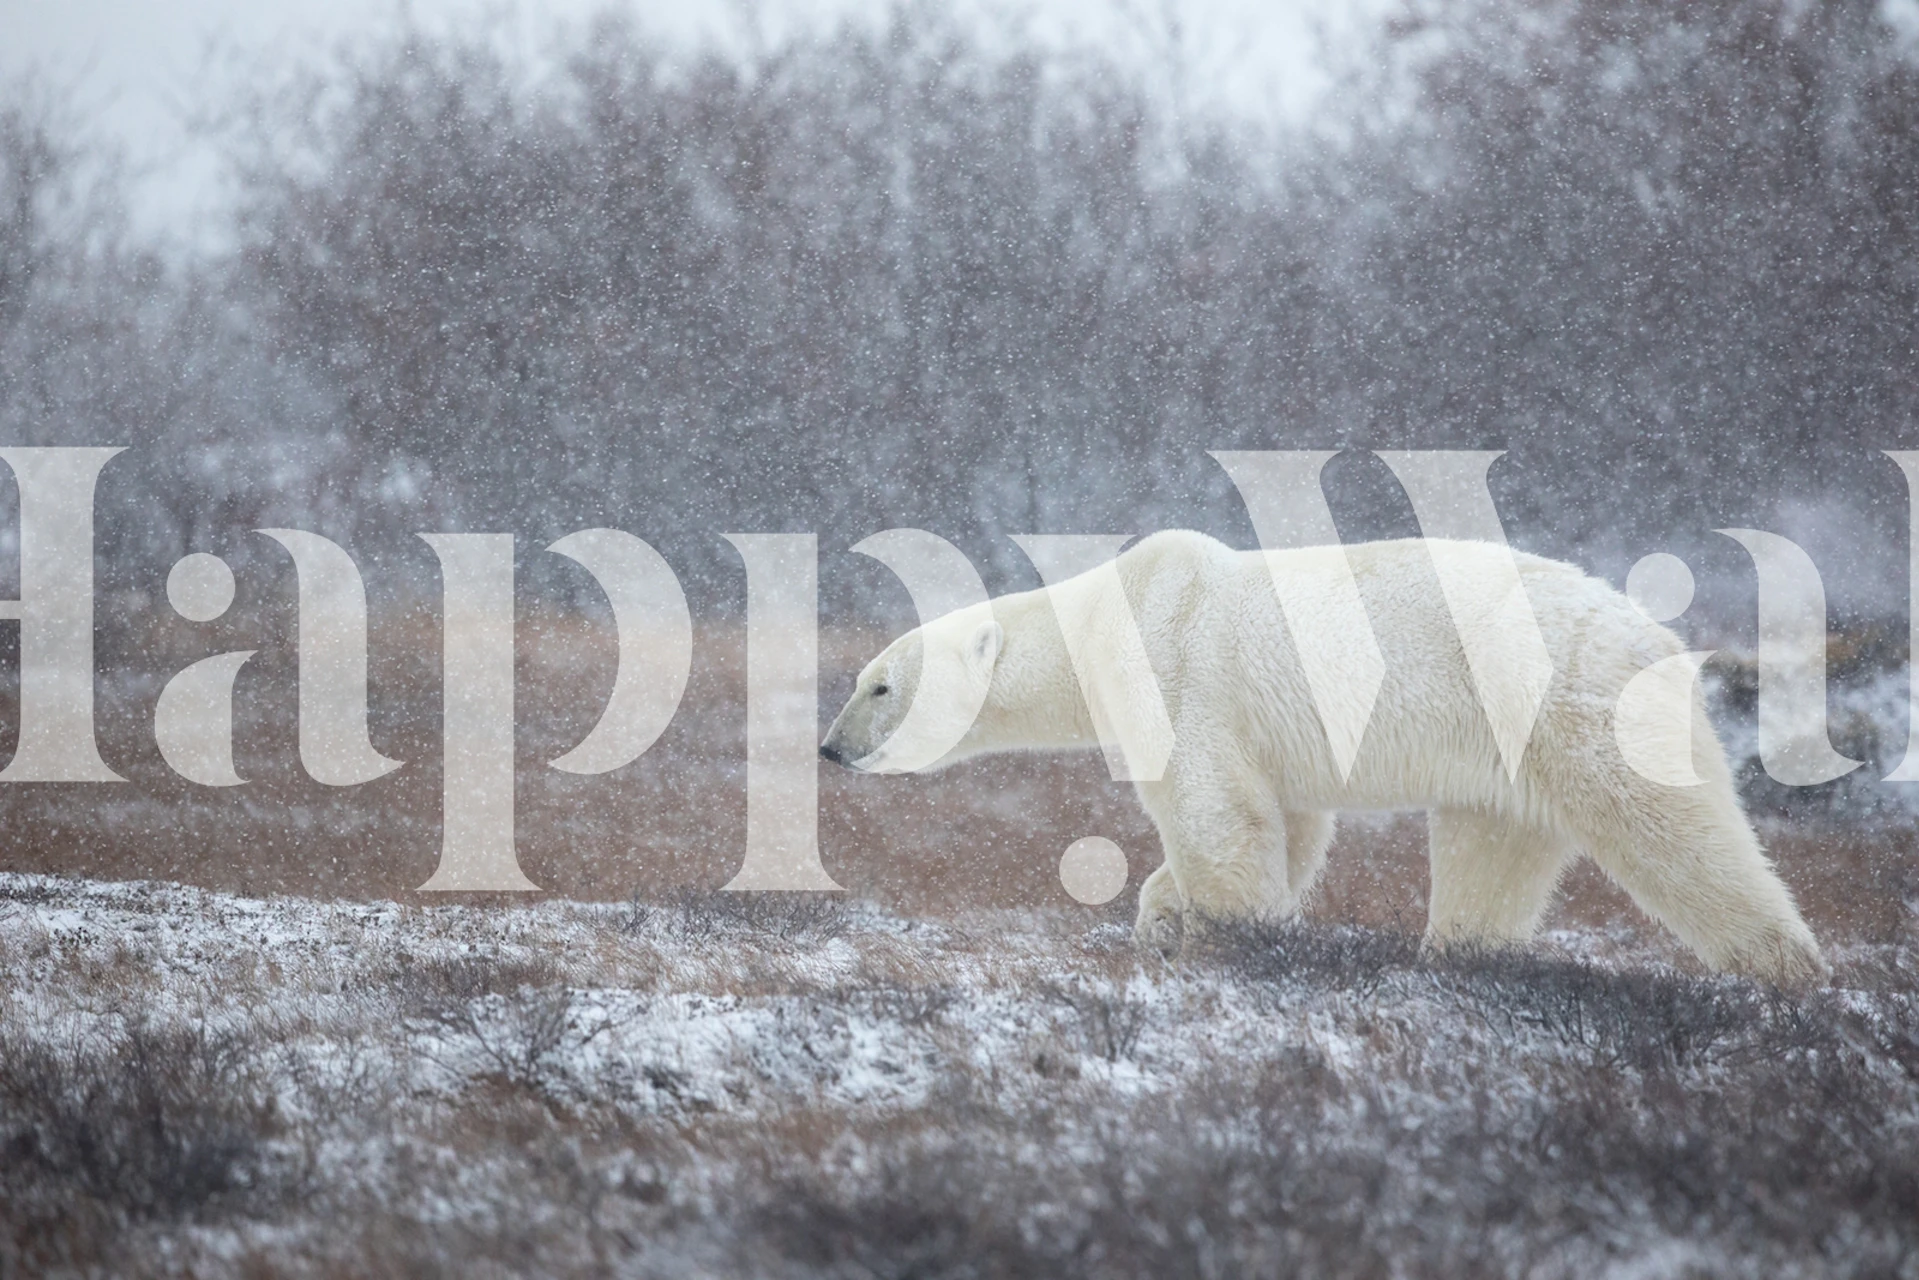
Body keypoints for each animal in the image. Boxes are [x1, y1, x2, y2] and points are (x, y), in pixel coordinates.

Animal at [820, 530, 1828, 987]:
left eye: (877, 685)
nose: (830, 748)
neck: (1111, 613)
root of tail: (1661, 638)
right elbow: (1287, 822)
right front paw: (1160, 917)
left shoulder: (1181, 673)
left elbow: (1217, 818)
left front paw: (1223, 938)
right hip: (1508, 758)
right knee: (1490, 853)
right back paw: (1455, 961)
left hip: (1575, 706)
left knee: (1677, 836)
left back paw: (1785, 972)